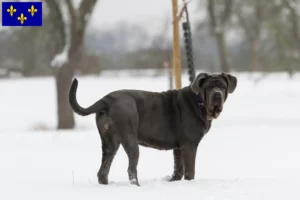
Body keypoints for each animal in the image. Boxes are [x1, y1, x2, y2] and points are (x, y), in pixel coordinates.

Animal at [68, 72, 237, 186]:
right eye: (209, 87)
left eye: (222, 86)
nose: (217, 94)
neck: (199, 102)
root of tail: (106, 100)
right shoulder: (189, 145)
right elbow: (190, 170)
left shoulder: (178, 147)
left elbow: (178, 168)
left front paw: (174, 181)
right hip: (129, 138)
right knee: (131, 168)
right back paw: (136, 186)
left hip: (110, 142)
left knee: (103, 169)